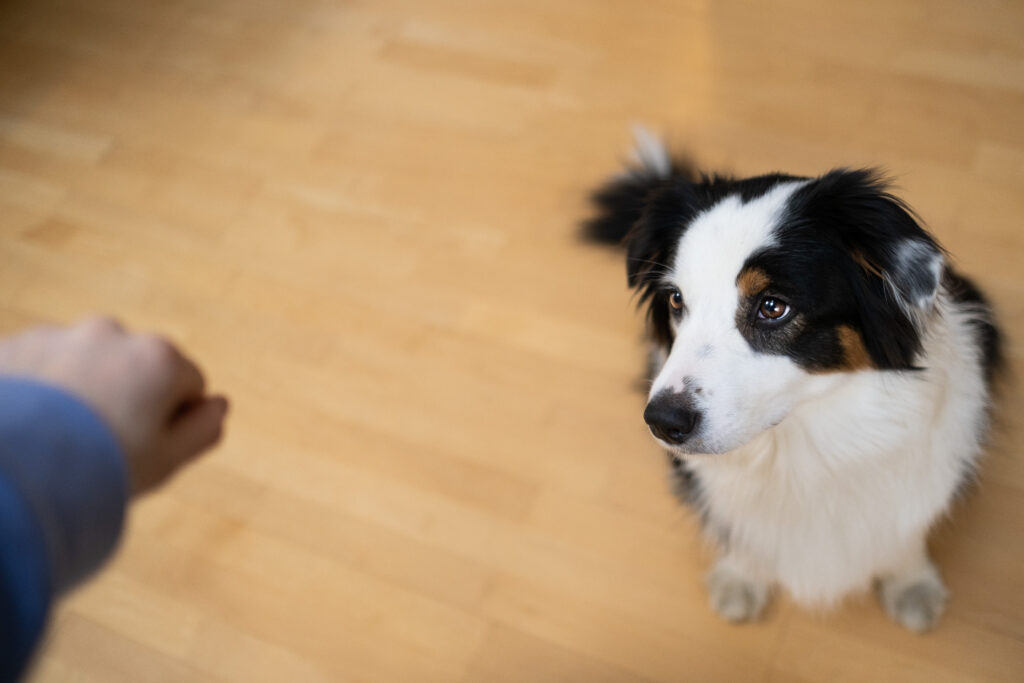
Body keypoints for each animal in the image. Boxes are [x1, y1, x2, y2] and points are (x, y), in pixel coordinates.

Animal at [585, 131, 999, 634]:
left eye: (772, 306)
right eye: (677, 300)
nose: (662, 421)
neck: (799, 445)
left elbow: (905, 530)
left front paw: (911, 583)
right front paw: (740, 577)